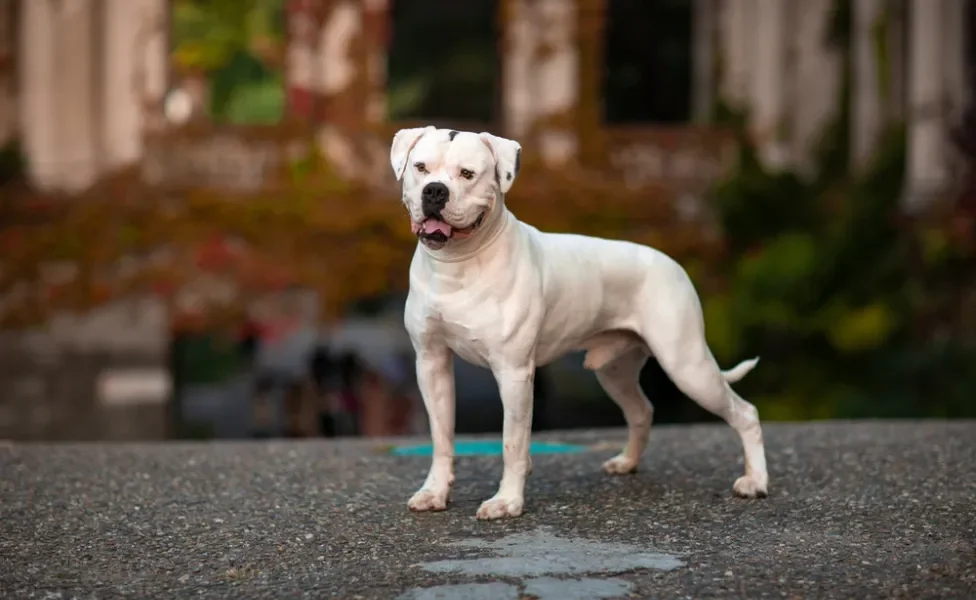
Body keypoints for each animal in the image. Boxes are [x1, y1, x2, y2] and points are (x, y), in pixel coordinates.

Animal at [390, 126, 772, 520]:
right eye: (420, 167)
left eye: (467, 174)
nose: (435, 190)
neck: (457, 265)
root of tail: (672, 263)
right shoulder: (432, 363)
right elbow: (441, 437)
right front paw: (434, 492)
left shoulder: (514, 372)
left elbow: (512, 442)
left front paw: (507, 501)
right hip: (615, 371)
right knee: (641, 410)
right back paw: (627, 462)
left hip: (688, 366)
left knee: (745, 412)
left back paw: (755, 482)